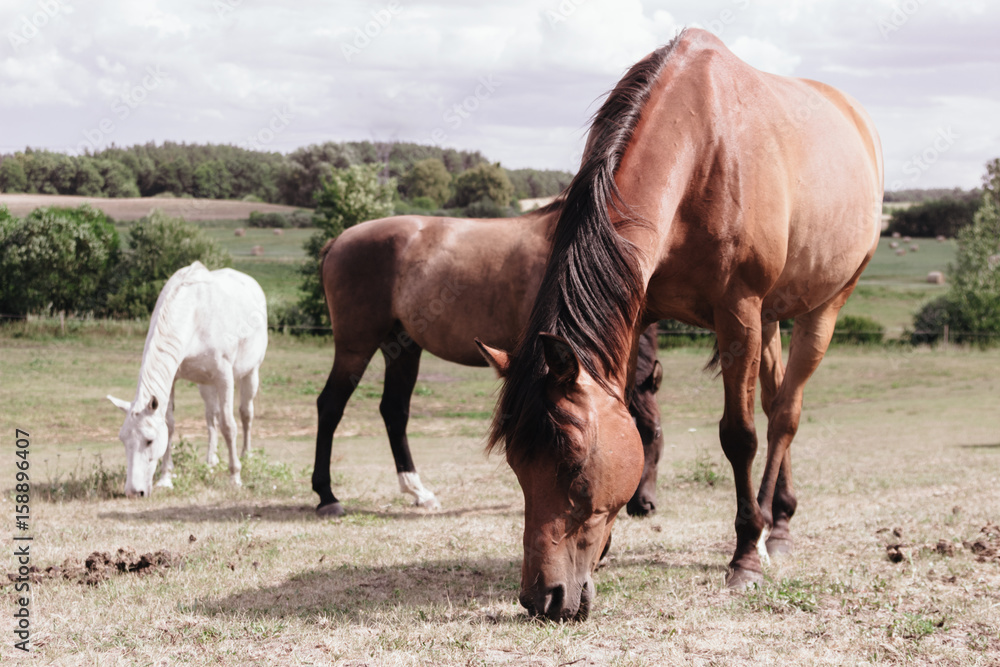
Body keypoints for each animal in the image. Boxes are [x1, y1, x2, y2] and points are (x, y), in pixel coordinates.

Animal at [108, 264, 270, 498]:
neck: (194, 315)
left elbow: (229, 425)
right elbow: (171, 425)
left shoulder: (225, 377)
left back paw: (246, 457)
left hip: (250, 374)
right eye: (123, 439)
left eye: (149, 441)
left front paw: (235, 477)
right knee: (211, 417)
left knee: (245, 414)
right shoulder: (174, 379)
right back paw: (211, 462)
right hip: (206, 385)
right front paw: (165, 478)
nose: (133, 492)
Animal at [308, 207, 664, 516]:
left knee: (394, 411)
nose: (643, 505)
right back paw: (327, 497)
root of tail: (339, 241)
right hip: (355, 347)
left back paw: (417, 491)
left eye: (656, 436)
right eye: (645, 435)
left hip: (402, 348)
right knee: (330, 406)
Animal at [480, 26, 880, 620]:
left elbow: (739, 436)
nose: (542, 598)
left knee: (784, 416)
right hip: (773, 319)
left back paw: (769, 528)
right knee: (776, 400)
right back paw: (780, 517)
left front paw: (745, 555)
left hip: (823, 307)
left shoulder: (739, 314)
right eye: (514, 464)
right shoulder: (641, 311)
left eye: (573, 466)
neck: (702, 151)